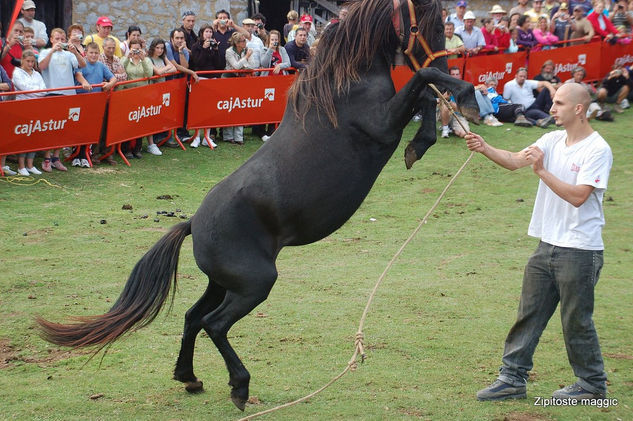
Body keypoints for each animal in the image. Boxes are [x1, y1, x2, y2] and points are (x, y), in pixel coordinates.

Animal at [37, 0, 476, 410]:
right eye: (427, 25)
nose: (450, 60)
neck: (345, 86)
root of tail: (194, 223)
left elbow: (424, 92)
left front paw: (423, 141)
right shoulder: (383, 124)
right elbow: (424, 79)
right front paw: (463, 101)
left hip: (224, 283)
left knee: (193, 317)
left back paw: (189, 377)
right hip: (255, 283)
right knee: (214, 324)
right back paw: (239, 386)